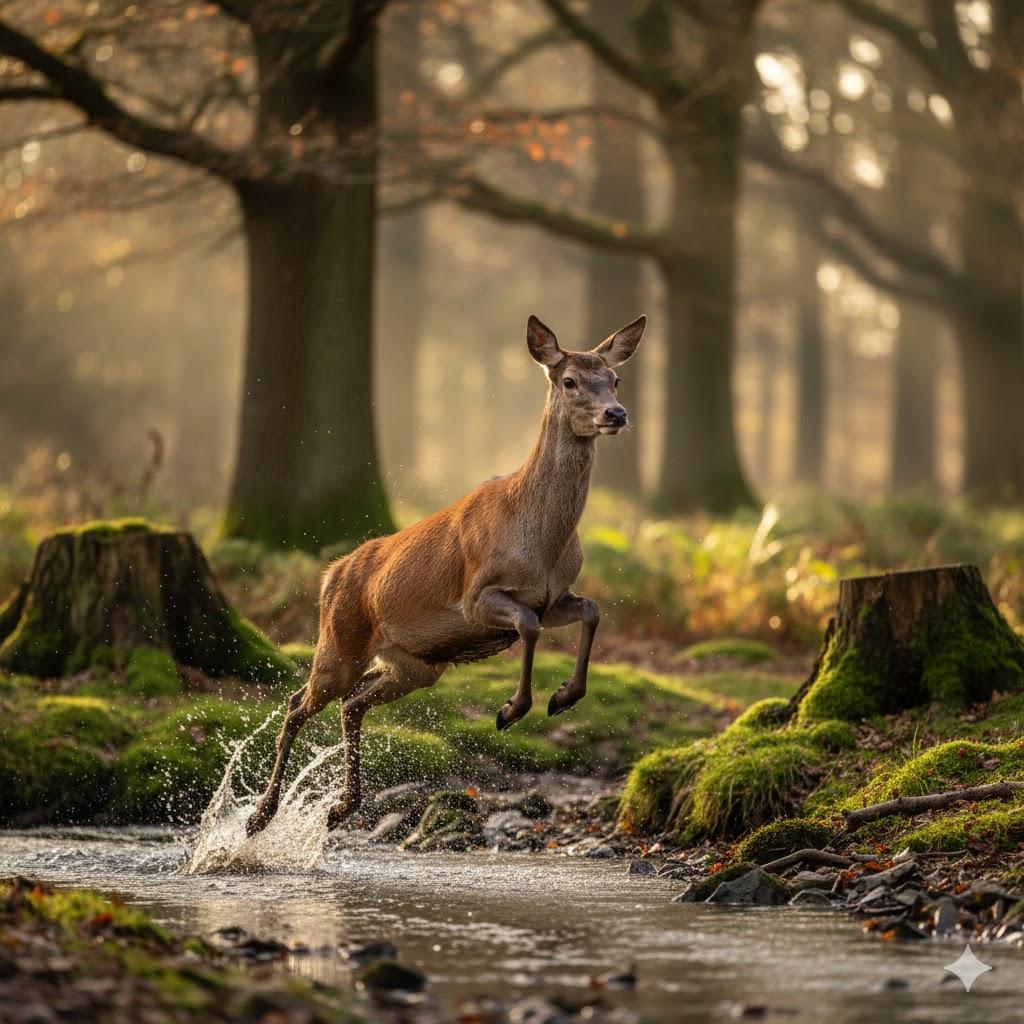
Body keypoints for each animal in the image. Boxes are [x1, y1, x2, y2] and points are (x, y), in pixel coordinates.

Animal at [245, 313, 645, 836]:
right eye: (570, 380)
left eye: (615, 379)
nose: (616, 414)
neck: (541, 543)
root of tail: (330, 575)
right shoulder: (477, 594)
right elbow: (528, 626)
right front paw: (512, 709)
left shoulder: (554, 596)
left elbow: (592, 609)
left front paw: (563, 697)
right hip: (339, 640)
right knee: (297, 704)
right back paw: (260, 815)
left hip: (415, 665)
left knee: (352, 703)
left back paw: (341, 806)